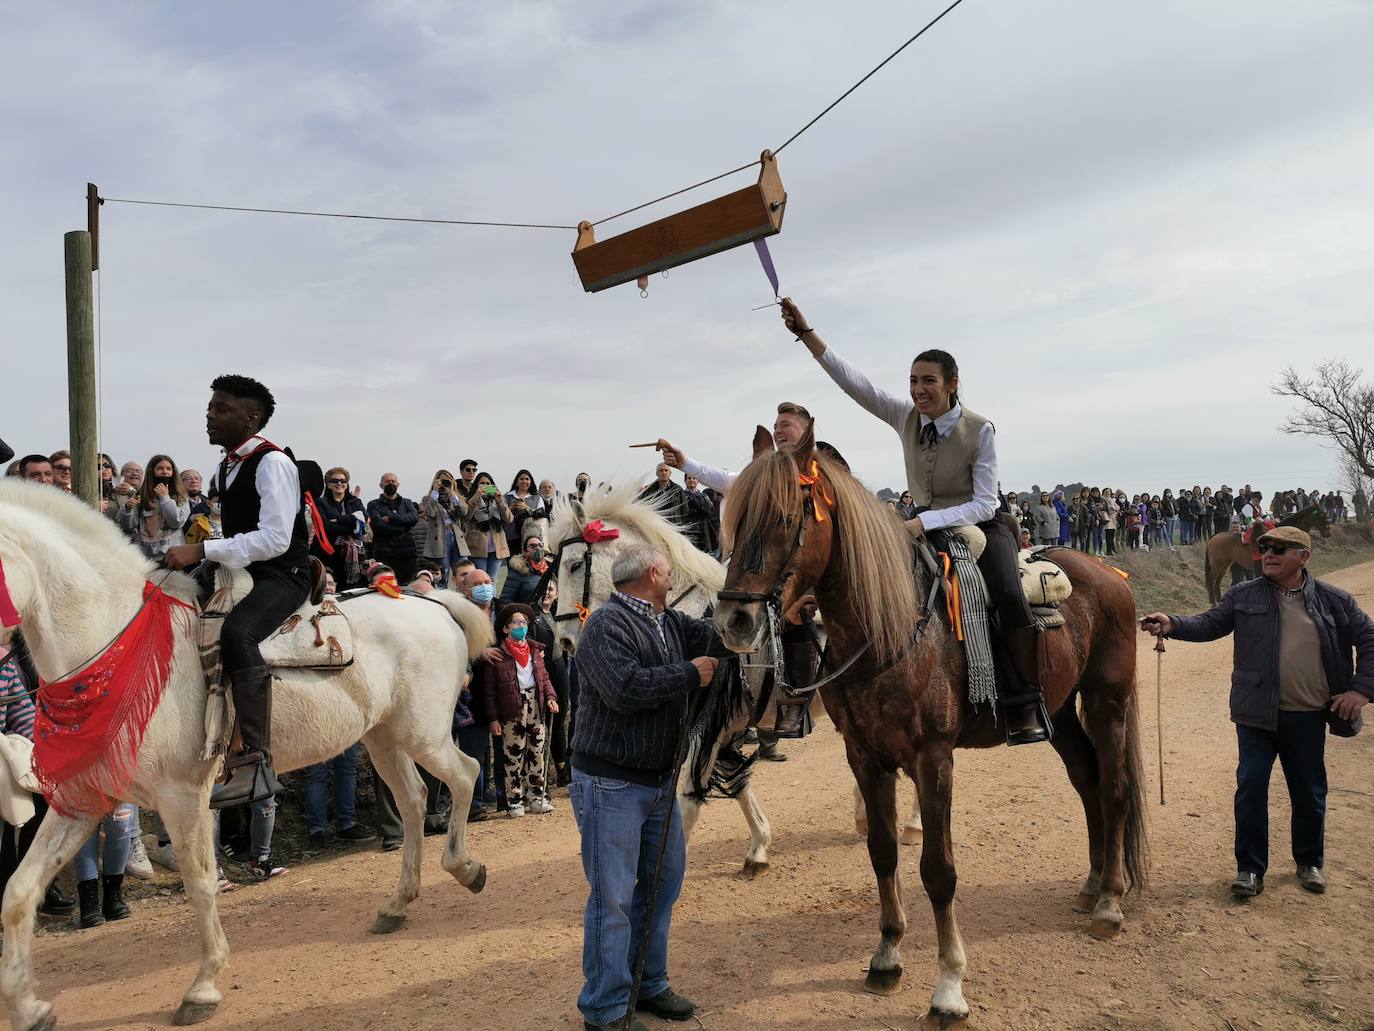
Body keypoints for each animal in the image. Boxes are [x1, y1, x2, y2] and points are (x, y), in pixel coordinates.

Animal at [0, 483, 494, 1031]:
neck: (119, 644)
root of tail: (428, 600)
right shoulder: (82, 801)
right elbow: (18, 893)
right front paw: (28, 1007)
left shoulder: (183, 795)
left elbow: (200, 883)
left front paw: (204, 986)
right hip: (383, 737)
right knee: (413, 801)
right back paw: (398, 903)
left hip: (421, 734)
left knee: (465, 775)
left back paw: (465, 867)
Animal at [714, 431, 1143, 1028]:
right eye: (734, 515)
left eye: (783, 517)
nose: (734, 621)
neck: (891, 626)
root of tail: (1108, 574)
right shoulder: (865, 757)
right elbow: (883, 852)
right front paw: (887, 956)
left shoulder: (933, 758)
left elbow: (938, 870)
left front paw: (948, 987)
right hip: (1058, 715)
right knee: (1089, 784)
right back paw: (1091, 885)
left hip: (1107, 703)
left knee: (1116, 789)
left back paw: (1109, 903)